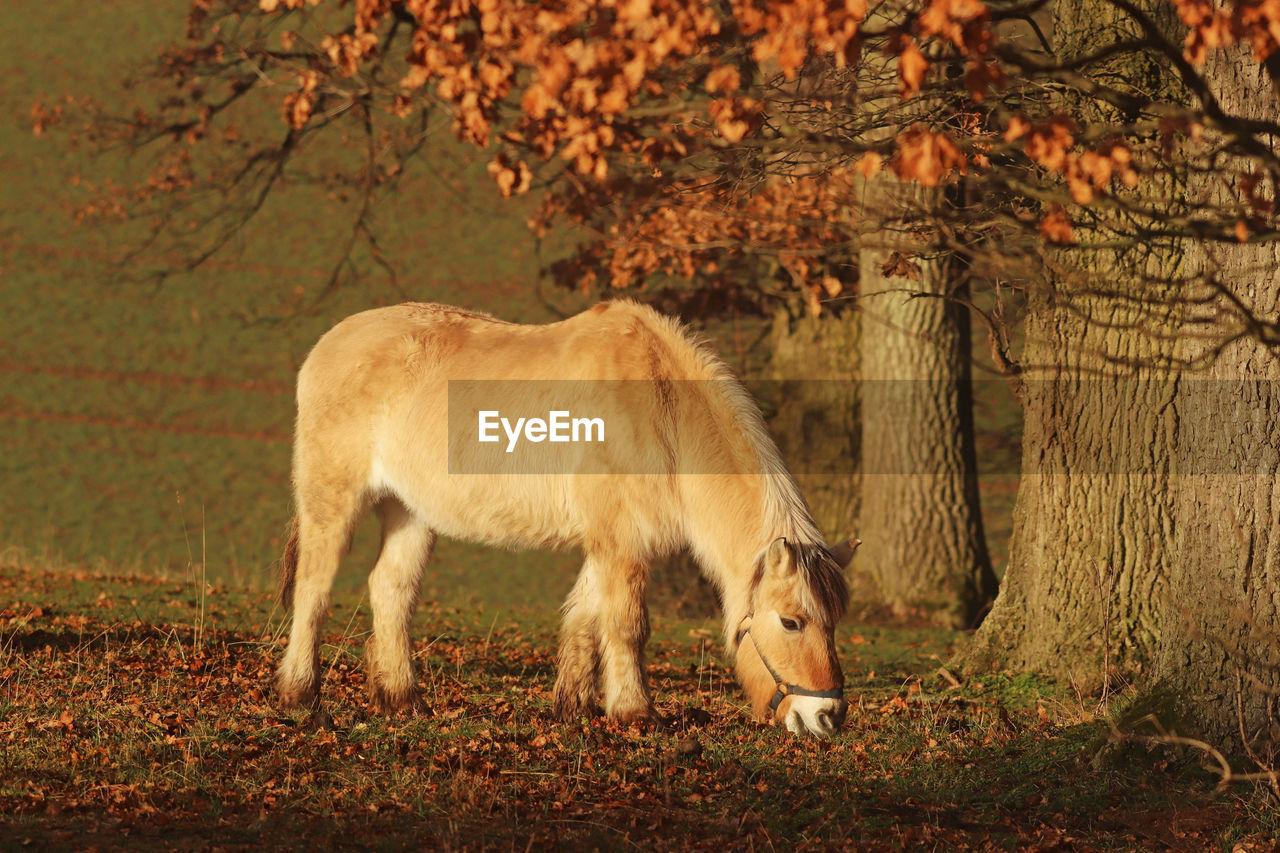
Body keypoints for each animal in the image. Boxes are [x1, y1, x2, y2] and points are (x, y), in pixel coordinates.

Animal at [280, 302, 860, 732]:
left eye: (835, 621)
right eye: (791, 621)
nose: (827, 717)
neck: (662, 408)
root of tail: (328, 344)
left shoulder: (606, 543)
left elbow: (584, 616)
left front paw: (573, 707)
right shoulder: (623, 544)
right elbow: (626, 625)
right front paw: (634, 713)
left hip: (410, 511)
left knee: (391, 590)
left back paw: (403, 700)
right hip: (332, 501)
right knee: (314, 589)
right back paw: (300, 695)